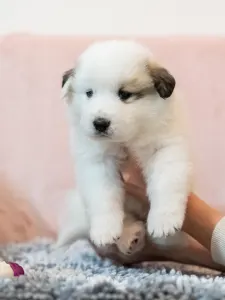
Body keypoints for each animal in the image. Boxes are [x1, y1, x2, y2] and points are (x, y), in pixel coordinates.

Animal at [60, 39, 192, 248]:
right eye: (89, 93)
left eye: (124, 94)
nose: (100, 123)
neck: (127, 139)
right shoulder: (97, 163)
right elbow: (103, 197)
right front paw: (105, 231)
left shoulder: (166, 149)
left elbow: (166, 183)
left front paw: (164, 222)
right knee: (128, 218)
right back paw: (130, 237)